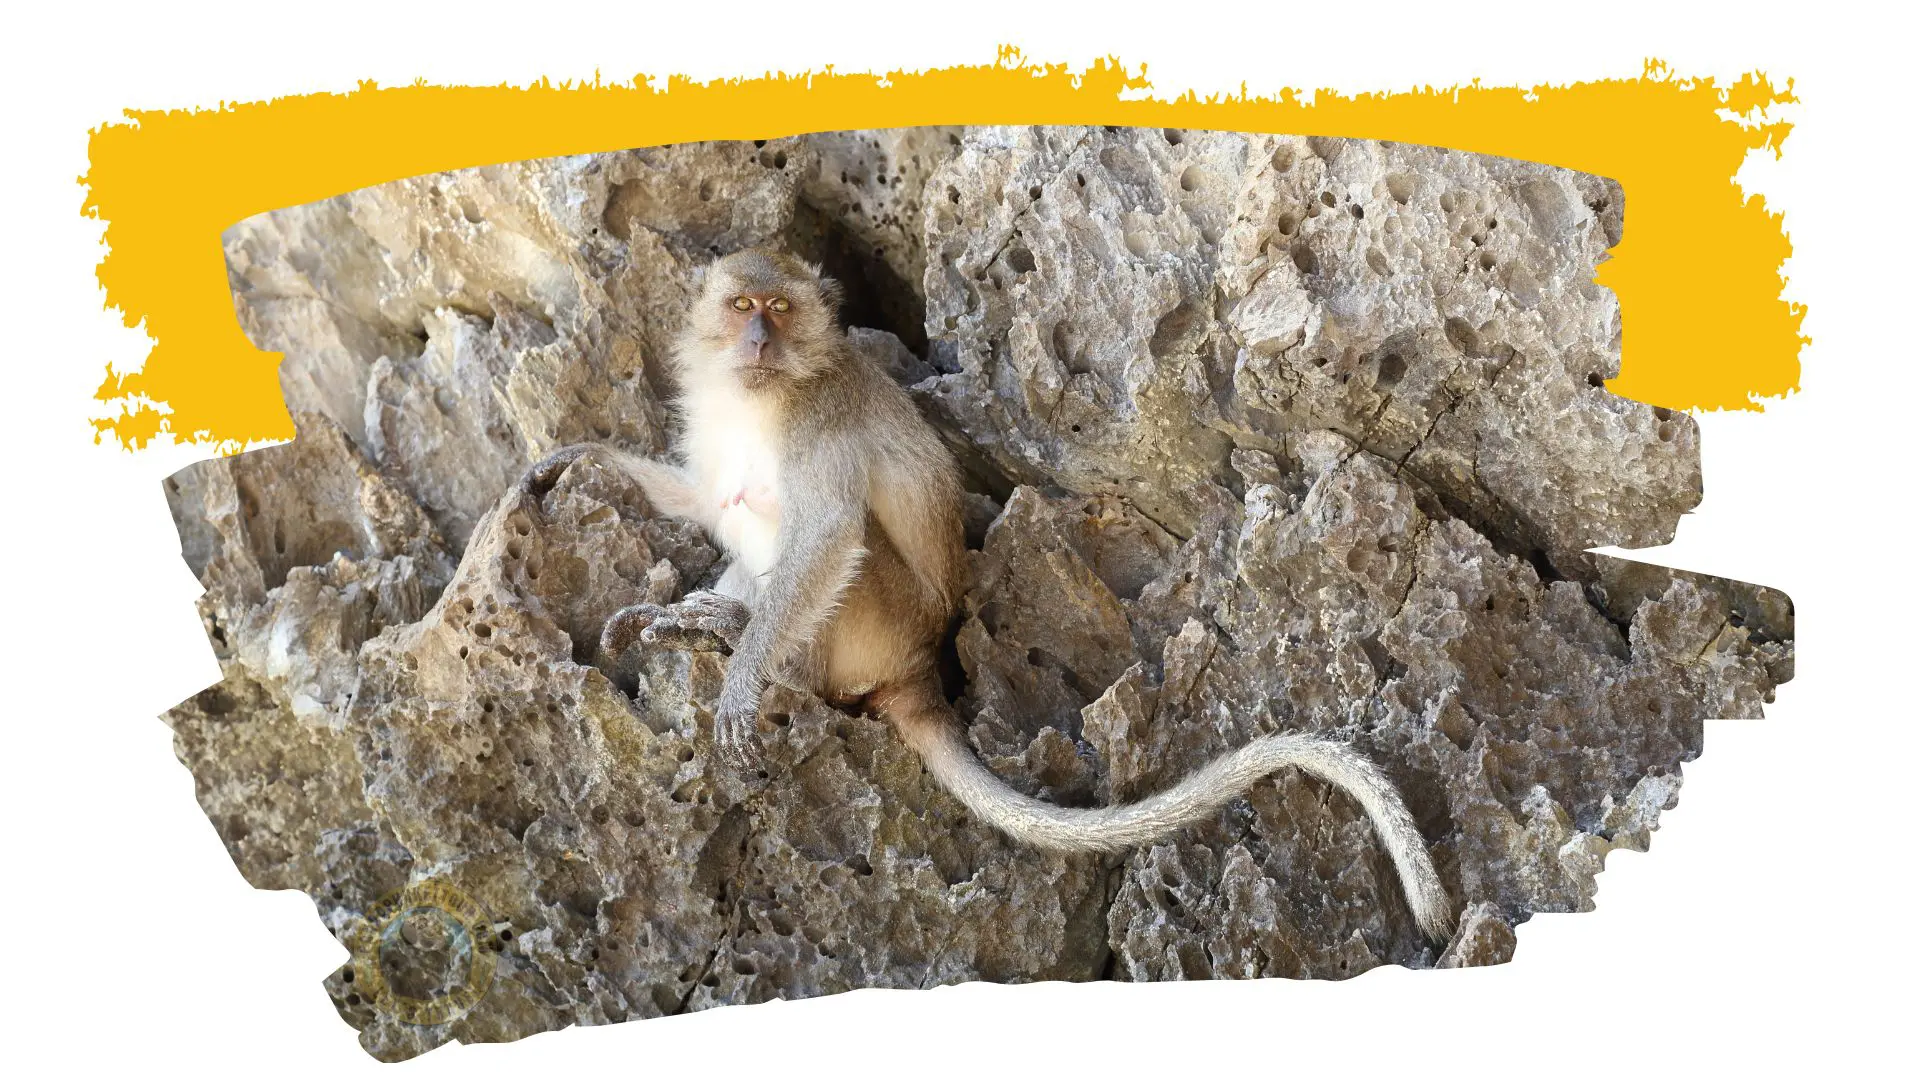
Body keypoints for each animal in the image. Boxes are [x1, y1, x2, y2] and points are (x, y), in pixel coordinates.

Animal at [520, 248, 1456, 942]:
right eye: (743, 301)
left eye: (780, 309)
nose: (755, 336)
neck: (763, 395)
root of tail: (917, 670)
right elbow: (701, 496)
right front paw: (584, 461)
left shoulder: (818, 417)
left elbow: (827, 534)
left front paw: (746, 676)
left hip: (878, 621)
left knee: (836, 545)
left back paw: (761, 655)